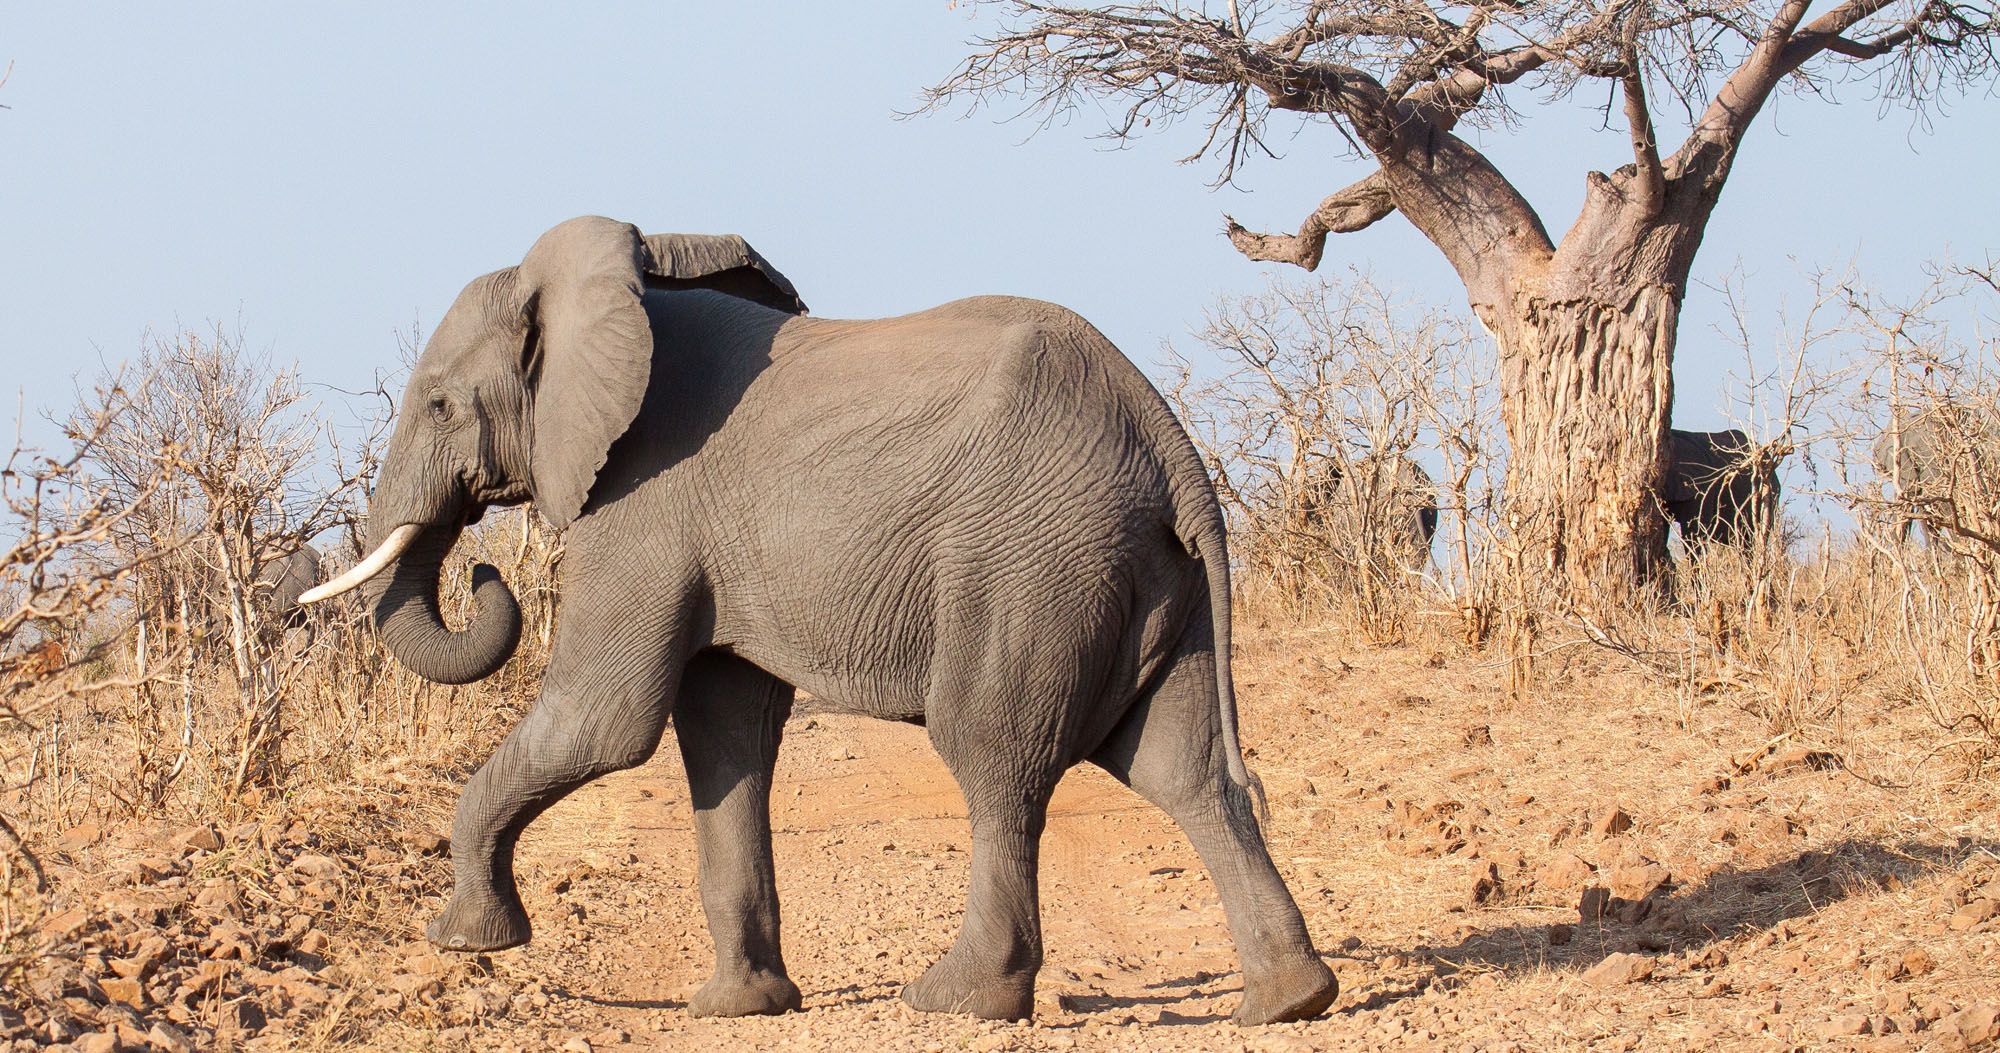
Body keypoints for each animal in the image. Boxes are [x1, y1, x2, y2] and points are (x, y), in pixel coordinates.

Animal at [304, 219, 1336, 1024]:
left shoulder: (644, 502)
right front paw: (739, 1007)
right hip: (1149, 573)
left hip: (1033, 560)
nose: (485, 569)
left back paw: (957, 1000)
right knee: (1180, 768)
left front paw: (464, 943)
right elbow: (726, 730)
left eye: (441, 402)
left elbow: (607, 721)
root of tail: (1170, 443)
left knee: (997, 758)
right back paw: (1290, 999)